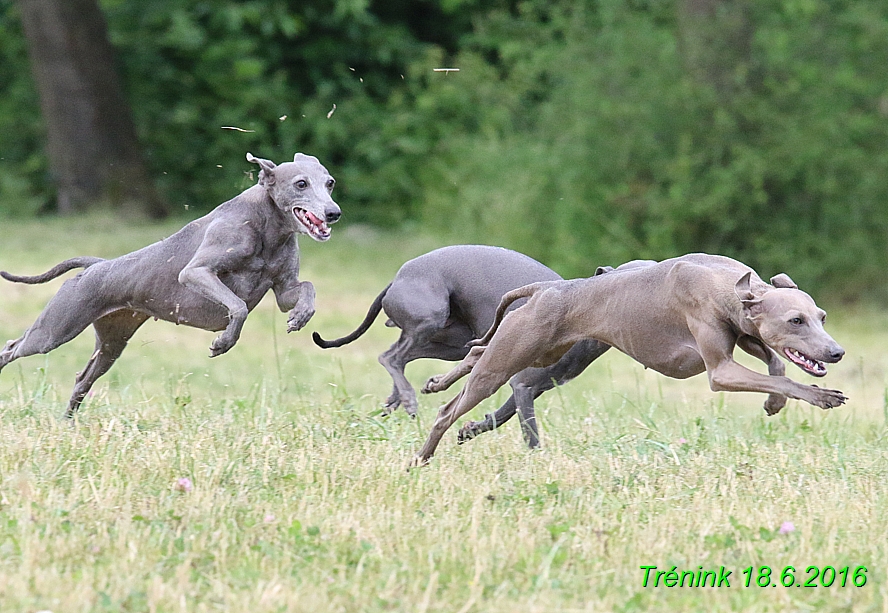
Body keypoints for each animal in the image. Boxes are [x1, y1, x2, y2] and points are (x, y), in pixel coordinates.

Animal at [0, 152, 342, 416]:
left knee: (82, 380)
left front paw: (300, 316)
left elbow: (306, 288)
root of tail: (95, 265)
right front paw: (223, 342)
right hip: (54, 329)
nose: (333, 212)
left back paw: (68, 422)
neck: (270, 227)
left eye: (330, 183)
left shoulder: (284, 289)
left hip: (111, 342)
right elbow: (239, 306)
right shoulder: (196, 273)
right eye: (300, 183)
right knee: (11, 347)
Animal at [312, 246, 612, 448]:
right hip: (431, 316)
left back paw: (396, 399)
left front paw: (469, 430)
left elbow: (498, 417)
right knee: (391, 357)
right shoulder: (523, 384)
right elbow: (531, 434)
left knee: (405, 357)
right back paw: (407, 398)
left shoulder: (533, 386)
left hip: (454, 342)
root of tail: (397, 279)